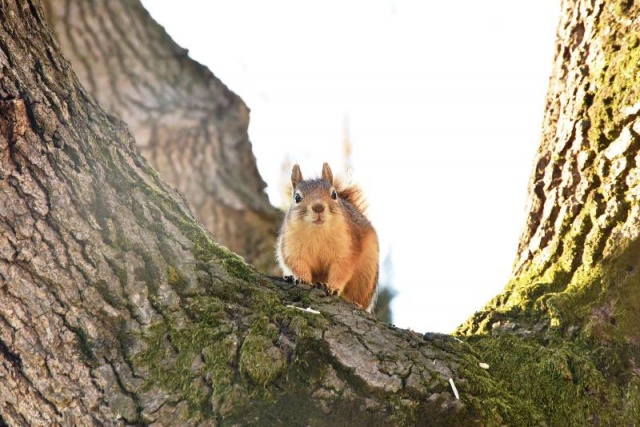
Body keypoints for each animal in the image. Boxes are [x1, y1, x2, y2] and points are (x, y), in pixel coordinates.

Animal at [276, 162, 378, 312]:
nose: (318, 207)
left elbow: (341, 270)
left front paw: (333, 287)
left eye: (334, 194)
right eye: (297, 198)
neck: (318, 232)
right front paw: (302, 279)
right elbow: (297, 263)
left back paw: (357, 303)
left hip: (366, 276)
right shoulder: (291, 246)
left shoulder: (346, 249)